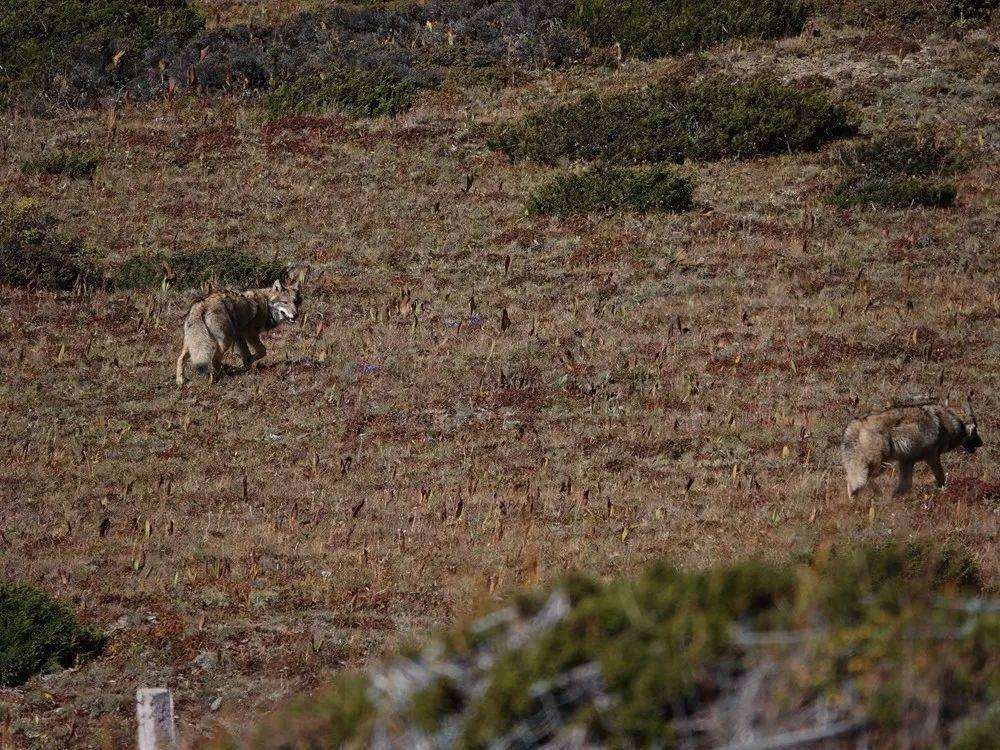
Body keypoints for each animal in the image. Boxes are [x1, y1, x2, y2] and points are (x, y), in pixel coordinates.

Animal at [840, 400, 980, 500]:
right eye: (976, 429)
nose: (981, 443)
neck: (949, 422)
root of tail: (855, 425)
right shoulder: (932, 457)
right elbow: (941, 478)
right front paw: (944, 492)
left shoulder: (907, 462)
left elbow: (904, 486)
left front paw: (896, 500)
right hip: (878, 467)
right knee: (854, 484)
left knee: (854, 482)